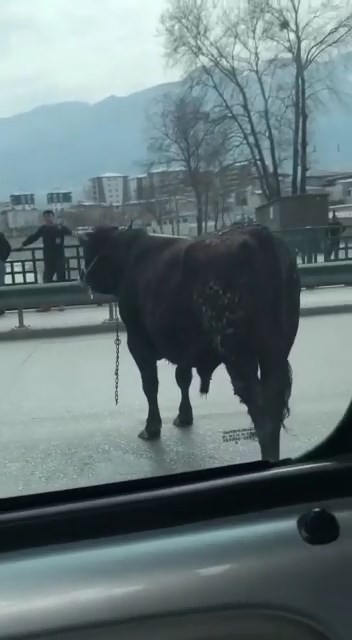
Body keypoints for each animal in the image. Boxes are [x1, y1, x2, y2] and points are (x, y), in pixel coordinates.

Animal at [80, 224, 300, 460]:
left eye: (87, 250)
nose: (84, 275)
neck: (130, 255)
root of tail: (258, 234)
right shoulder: (185, 346)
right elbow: (183, 378)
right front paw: (184, 416)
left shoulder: (138, 341)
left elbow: (150, 384)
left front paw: (152, 427)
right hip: (275, 353)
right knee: (274, 406)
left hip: (238, 354)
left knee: (261, 410)